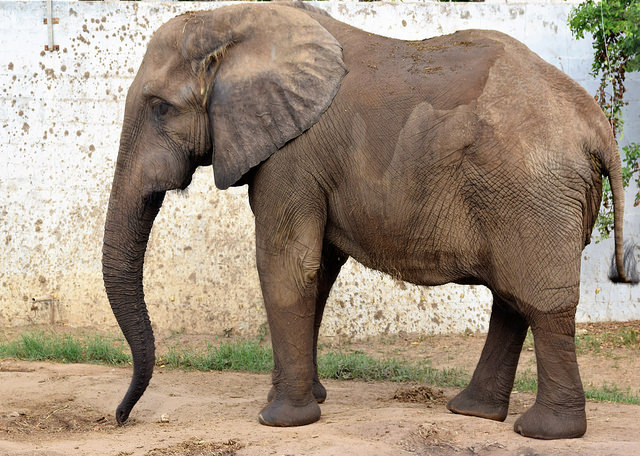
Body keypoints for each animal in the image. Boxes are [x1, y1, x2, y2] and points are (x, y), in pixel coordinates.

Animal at [102, 2, 638, 440]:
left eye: (160, 108)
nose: (121, 418)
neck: (236, 22)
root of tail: (597, 125)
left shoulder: (294, 154)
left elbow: (286, 264)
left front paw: (280, 419)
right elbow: (317, 268)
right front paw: (304, 398)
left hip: (534, 194)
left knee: (542, 302)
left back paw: (545, 432)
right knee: (512, 297)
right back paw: (473, 413)